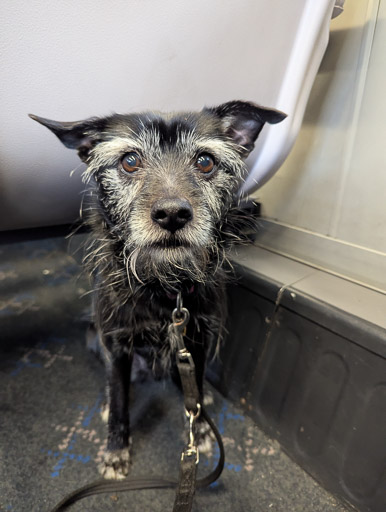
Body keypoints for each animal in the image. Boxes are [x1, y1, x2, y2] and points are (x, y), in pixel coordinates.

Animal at [30, 101, 284, 480]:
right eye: (129, 160)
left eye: (205, 161)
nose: (172, 214)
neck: (165, 285)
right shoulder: (117, 344)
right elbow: (120, 400)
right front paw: (115, 452)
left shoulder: (199, 339)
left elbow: (194, 390)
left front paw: (201, 428)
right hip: (95, 339)